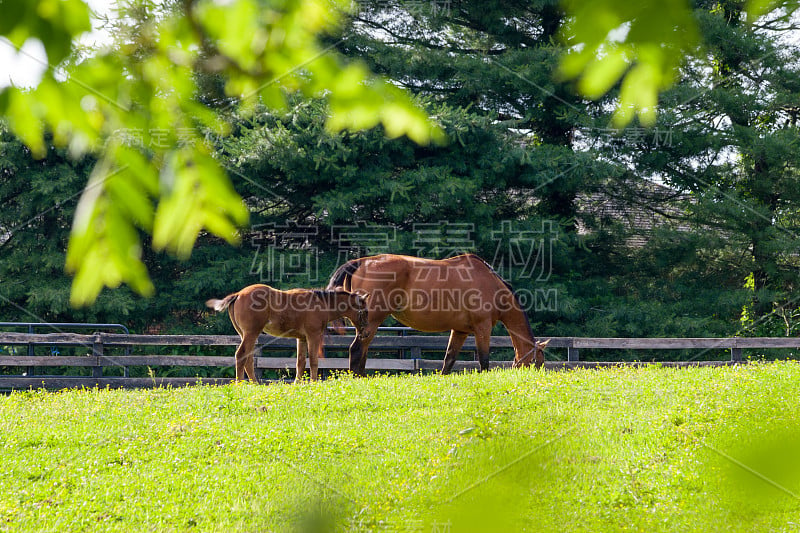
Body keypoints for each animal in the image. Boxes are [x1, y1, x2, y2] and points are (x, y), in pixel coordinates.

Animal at [206, 284, 368, 380]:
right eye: (365, 311)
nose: (366, 333)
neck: (321, 303)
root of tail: (238, 294)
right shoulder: (313, 336)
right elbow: (313, 361)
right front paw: (313, 382)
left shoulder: (301, 338)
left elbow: (300, 362)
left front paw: (298, 383)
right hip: (251, 333)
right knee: (241, 355)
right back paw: (240, 383)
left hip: (245, 334)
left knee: (248, 359)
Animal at [326, 254, 552, 374]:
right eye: (538, 362)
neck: (491, 285)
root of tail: (362, 262)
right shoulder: (483, 328)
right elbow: (484, 360)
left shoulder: (460, 331)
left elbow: (448, 360)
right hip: (372, 322)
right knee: (357, 350)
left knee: (361, 351)